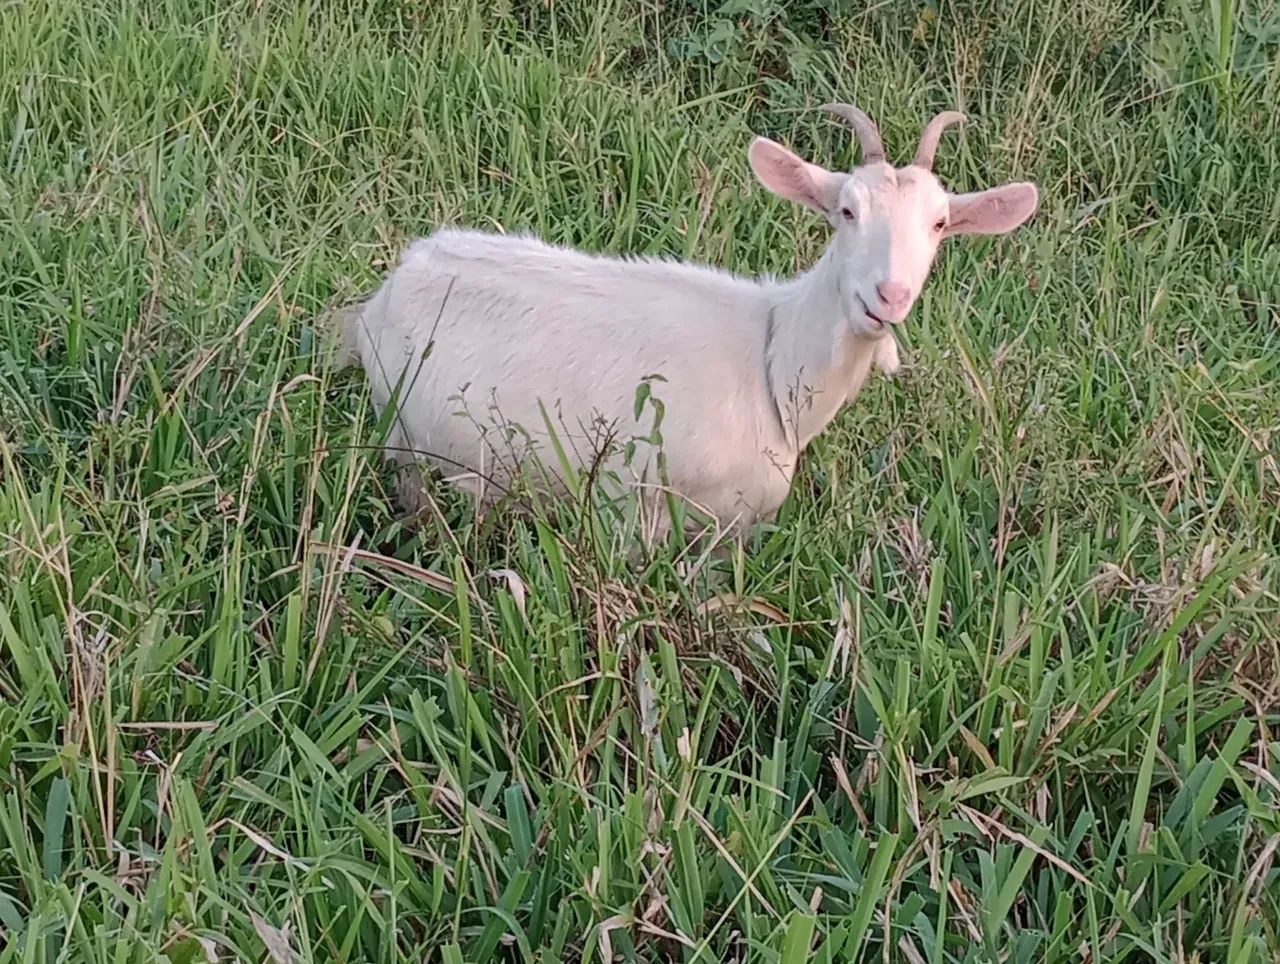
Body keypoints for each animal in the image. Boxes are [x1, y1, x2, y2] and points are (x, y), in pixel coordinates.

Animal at [332, 105, 1039, 540]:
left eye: (940, 223)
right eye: (845, 211)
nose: (888, 295)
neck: (772, 358)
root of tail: (393, 284)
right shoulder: (639, 507)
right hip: (405, 440)